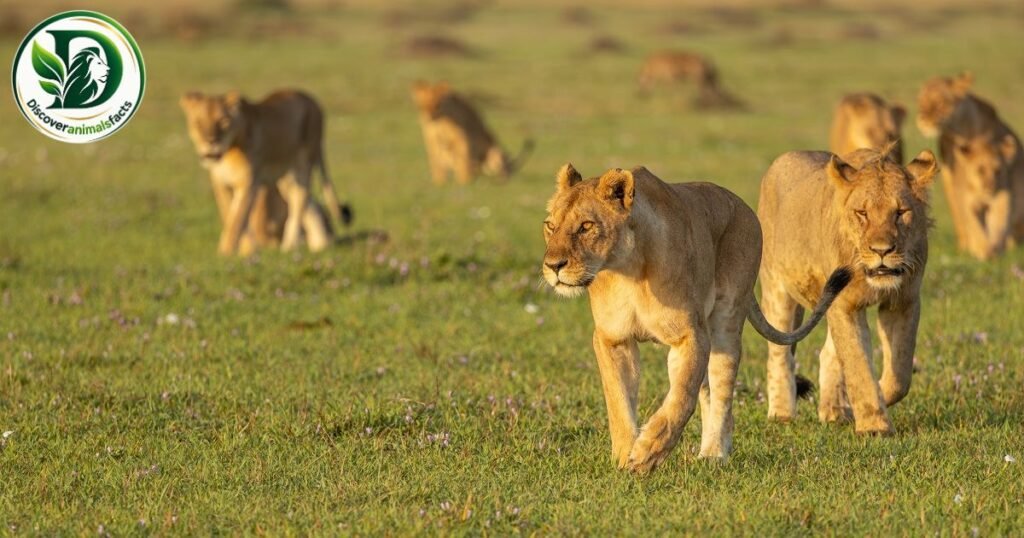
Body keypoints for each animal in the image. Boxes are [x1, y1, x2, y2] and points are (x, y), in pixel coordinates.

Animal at [179, 89, 352, 256]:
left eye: (223, 121)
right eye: (198, 123)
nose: (211, 141)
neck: (228, 152)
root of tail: (311, 99)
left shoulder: (250, 182)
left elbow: (238, 218)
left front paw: (226, 253)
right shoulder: (220, 183)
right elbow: (230, 214)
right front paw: (248, 250)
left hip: (303, 161)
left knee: (299, 199)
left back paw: (291, 245)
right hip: (285, 177)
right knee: (307, 202)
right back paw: (321, 244)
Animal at [542, 164, 852, 473]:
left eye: (586, 226)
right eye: (550, 226)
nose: (553, 266)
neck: (627, 271)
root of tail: (742, 206)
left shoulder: (691, 334)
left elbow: (681, 397)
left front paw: (647, 452)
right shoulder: (612, 339)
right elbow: (618, 400)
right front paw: (624, 455)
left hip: (726, 323)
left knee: (722, 393)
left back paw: (714, 453)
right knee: (706, 393)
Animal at [757, 147, 938, 435]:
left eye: (900, 212)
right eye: (862, 213)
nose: (882, 250)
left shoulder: (903, 301)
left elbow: (899, 375)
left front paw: (865, 406)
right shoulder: (844, 304)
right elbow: (858, 365)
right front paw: (874, 426)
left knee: (828, 354)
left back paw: (835, 412)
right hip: (777, 290)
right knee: (779, 355)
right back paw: (781, 414)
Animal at [916, 72, 1024, 259]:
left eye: (940, 102)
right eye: (921, 102)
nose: (923, 119)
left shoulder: (1002, 193)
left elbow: (998, 222)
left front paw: (992, 248)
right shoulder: (960, 187)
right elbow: (972, 222)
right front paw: (981, 249)